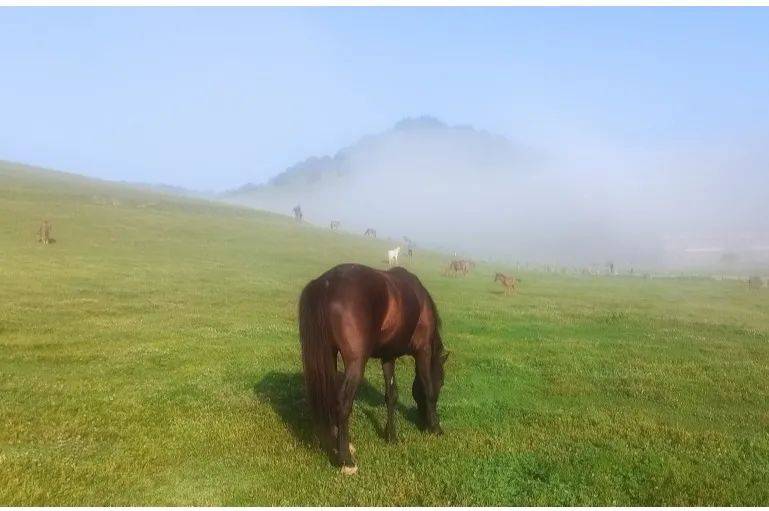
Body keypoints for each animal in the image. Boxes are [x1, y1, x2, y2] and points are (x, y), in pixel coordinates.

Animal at [296, 266, 448, 474]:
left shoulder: (388, 356)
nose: (422, 421)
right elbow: (428, 389)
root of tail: (325, 284)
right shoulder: (423, 350)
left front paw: (391, 436)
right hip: (356, 364)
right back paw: (346, 459)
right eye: (441, 381)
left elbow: (391, 395)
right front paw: (436, 428)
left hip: (329, 355)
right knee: (343, 403)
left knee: (331, 397)